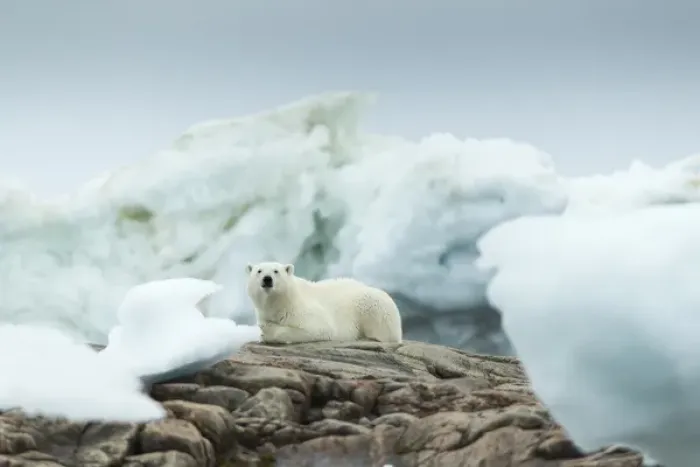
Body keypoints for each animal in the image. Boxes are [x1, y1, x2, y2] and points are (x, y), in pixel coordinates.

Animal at [245, 261, 403, 345]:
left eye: (276, 271)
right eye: (259, 271)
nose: (267, 279)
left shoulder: (301, 309)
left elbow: (320, 329)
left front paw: (268, 332)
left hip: (372, 304)